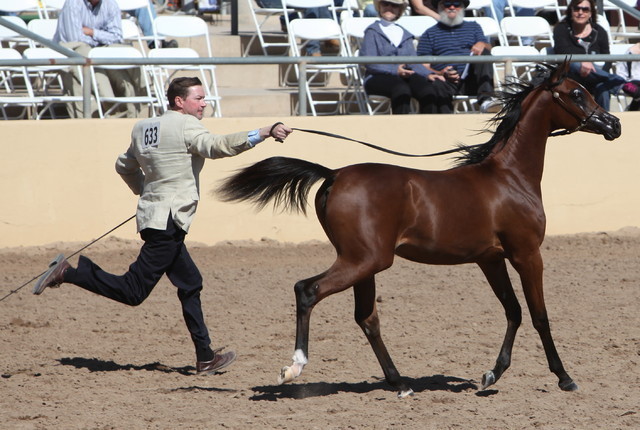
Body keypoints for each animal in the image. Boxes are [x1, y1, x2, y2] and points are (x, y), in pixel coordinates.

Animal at [216, 61, 621, 398]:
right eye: (576, 93)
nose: (614, 125)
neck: (509, 178)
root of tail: (334, 174)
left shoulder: (490, 259)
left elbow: (514, 312)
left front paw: (492, 374)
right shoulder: (527, 255)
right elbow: (539, 315)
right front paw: (565, 378)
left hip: (364, 262)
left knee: (366, 318)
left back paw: (400, 383)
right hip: (365, 260)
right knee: (307, 290)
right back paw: (294, 368)